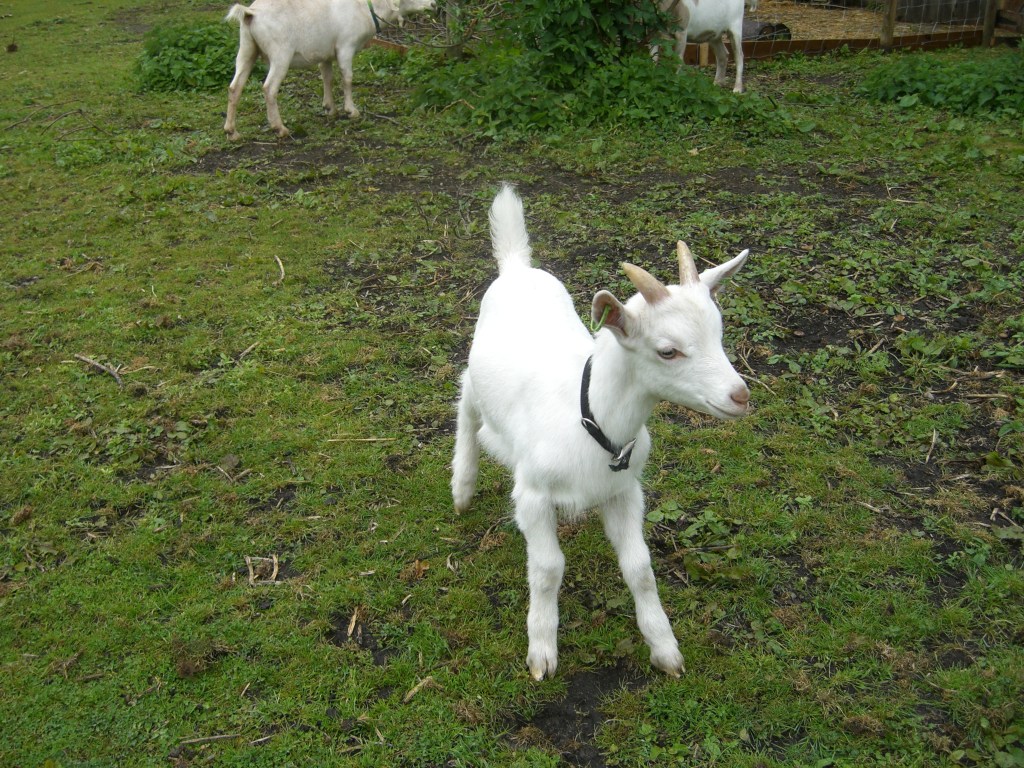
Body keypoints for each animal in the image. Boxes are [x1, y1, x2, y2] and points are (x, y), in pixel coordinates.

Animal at [224, 0, 435, 141]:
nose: (433, 4)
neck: (365, 7)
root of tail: (251, 13)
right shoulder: (345, 46)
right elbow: (347, 78)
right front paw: (351, 111)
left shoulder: (325, 54)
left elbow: (327, 78)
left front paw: (330, 109)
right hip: (280, 53)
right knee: (269, 88)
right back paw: (280, 128)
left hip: (247, 49)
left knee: (235, 87)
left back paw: (232, 132)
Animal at [451, 185, 750, 680]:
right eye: (667, 351)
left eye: (719, 332)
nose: (740, 396)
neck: (587, 416)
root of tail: (516, 266)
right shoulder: (532, 494)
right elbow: (548, 568)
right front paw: (542, 650)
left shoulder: (624, 489)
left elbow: (640, 567)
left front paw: (664, 648)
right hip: (477, 383)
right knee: (465, 403)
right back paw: (462, 484)